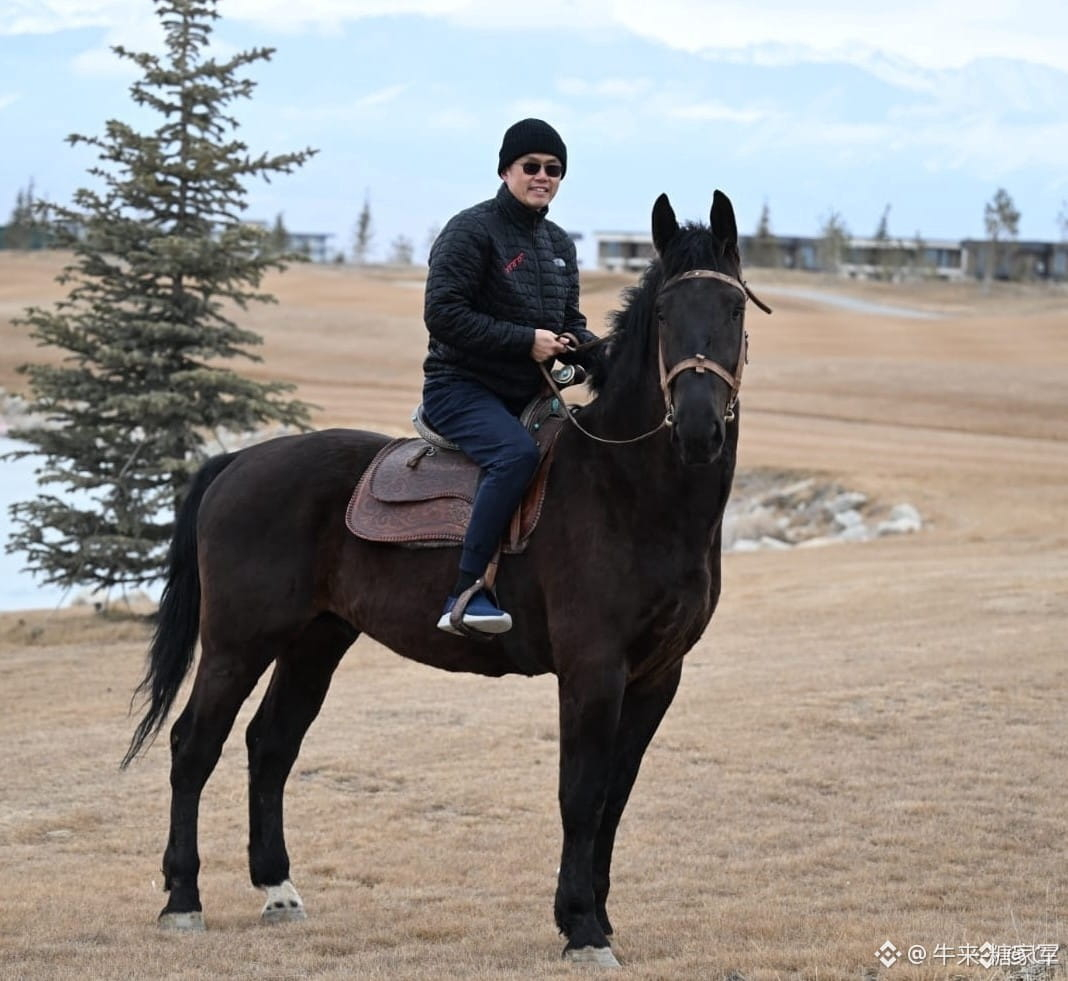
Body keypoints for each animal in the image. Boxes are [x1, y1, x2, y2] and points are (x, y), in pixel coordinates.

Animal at [122, 189, 769, 967]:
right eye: (667, 314)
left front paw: (599, 917)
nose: (699, 428)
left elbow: (615, 794)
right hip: (237, 643)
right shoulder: (592, 670)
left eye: (732, 311)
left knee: (270, 745)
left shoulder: (656, 676)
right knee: (194, 745)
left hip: (314, 641)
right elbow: (580, 794)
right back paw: (182, 899)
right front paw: (582, 927)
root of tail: (238, 462)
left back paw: (278, 890)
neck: (629, 490)